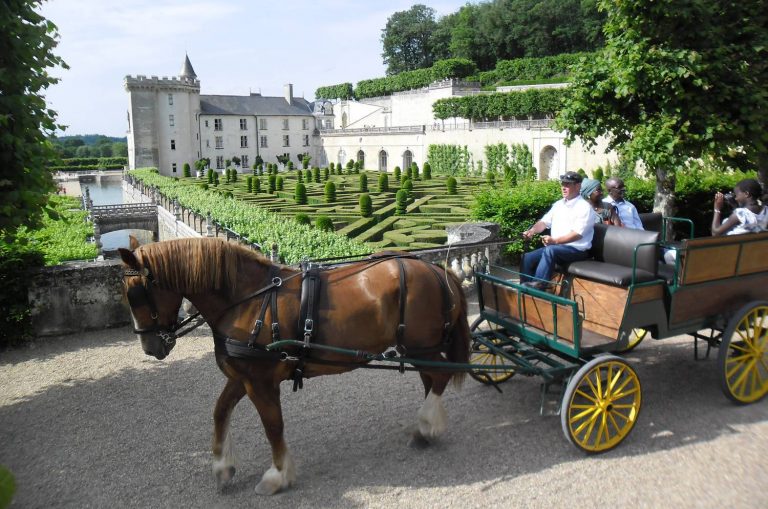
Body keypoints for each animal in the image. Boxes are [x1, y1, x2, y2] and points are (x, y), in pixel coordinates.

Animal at [118, 236, 474, 494]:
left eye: (136, 294)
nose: (149, 347)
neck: (248, 300)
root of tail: (438, 271)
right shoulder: (242, 377)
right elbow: (220, 412)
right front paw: (222, 466)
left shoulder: (261, 382)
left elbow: (273, 426)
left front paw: (278, 475)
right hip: (418, 348)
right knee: (431, 379)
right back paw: (426, 429)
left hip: (419, 346)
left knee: (440, 376)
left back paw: (427, 424)